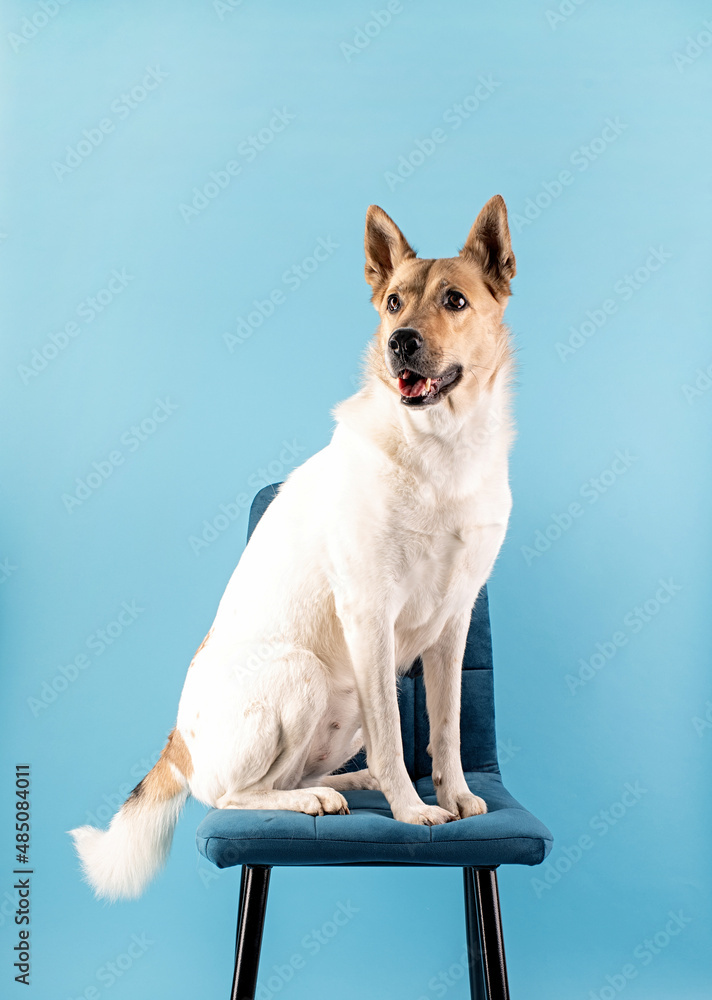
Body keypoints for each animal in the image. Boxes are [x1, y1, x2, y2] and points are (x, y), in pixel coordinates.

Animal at [69, 195, 516, 900]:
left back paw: (343, 783)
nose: (399, 342)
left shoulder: (454, 623)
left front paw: (455, 796)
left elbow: (444, 731)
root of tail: (178, 742)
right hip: (305, 675)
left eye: (455, 300)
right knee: (236, 794)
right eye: (394, 302)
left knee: (292, 773)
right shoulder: (370, 617)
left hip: (347, 700)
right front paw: (412, 809)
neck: (441, 449)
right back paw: (316, 799)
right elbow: (397, 737)